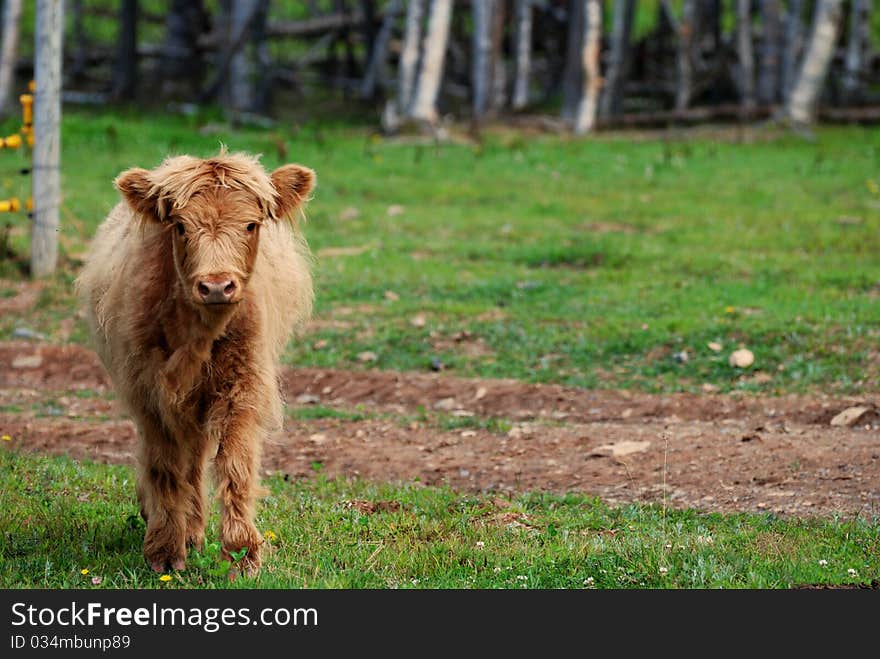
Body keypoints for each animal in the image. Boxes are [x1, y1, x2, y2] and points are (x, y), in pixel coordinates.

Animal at [75, 152, 316, 576]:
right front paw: (165, 551)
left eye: (251, 224)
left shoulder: (243, 387)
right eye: (181, 225)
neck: (198, 336)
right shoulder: (150, 393)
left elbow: (235, 464)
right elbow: (165, 466)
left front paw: (241, 553)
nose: (217, 286)